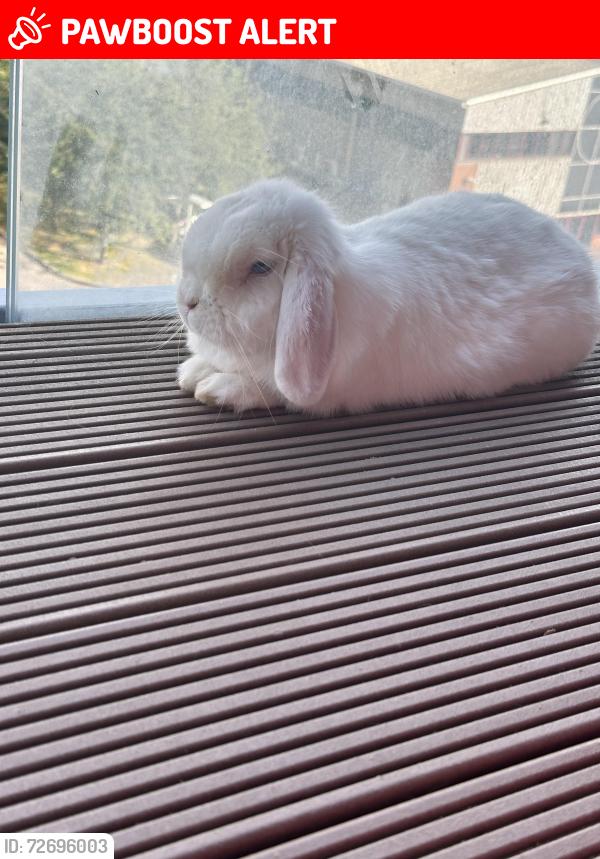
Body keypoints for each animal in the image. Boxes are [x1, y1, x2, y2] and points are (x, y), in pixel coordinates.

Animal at [176, 178, 600, 415]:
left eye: (260, 268)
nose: (187, 302)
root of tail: (577, 253)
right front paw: (193, 371)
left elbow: (271, 389)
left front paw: (215, 387)